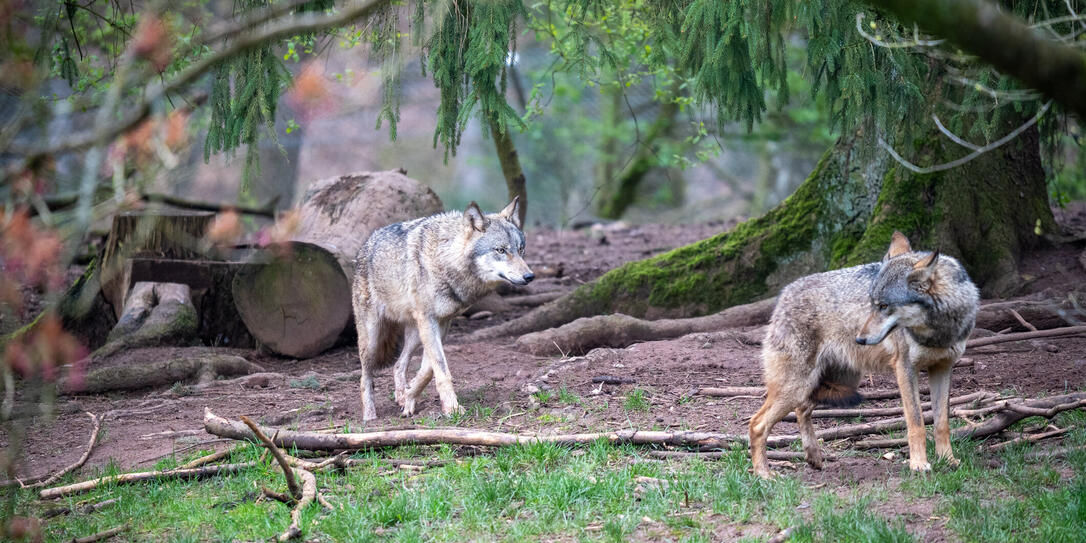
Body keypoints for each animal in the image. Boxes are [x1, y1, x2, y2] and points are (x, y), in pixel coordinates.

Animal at [353, 197, 533, 421]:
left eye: (521, 249)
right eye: (500, 250)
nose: (530, 276)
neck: (444, 259)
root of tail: (365, 244)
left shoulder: (443, 322)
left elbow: (428, 371)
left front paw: (410, 397)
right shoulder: (428, 321)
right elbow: (440, 368)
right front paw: (452, 409)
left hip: (414, 335)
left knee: (398, 365)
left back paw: (401, 395)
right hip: (372, 339)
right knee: (365, 377)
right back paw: (369, 416)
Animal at [748, 231, 979, 478]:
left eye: (884, 306)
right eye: (872, 304)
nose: (859, 339)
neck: (939, 331)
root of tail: (784, 293)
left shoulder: (943, 368)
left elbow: (942, 422)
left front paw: (948, 460)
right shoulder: (905, 368)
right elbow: (916, 423)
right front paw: (918, 464)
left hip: (835, 383)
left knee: (802, 410)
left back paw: (814, 458)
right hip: (797, 386)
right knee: (757, 424)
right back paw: (764, 474)